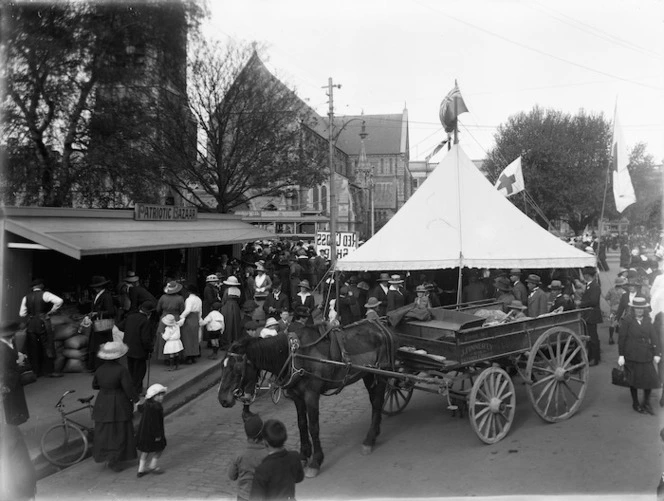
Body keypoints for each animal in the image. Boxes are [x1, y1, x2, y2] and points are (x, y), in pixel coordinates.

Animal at [218, 320, 396, 476]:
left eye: (237, 367)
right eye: (223, 366)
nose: (222, 399)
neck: (295, 356)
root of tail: (380, 326)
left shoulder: (311, 395)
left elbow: (313, 427)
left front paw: (315, 461)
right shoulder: (297, 396)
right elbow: (302, 424)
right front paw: (304, 455)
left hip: (380, 374)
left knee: (377, 402)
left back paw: (369, 439)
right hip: (368, 374)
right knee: (375, 401)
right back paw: (375, 432)